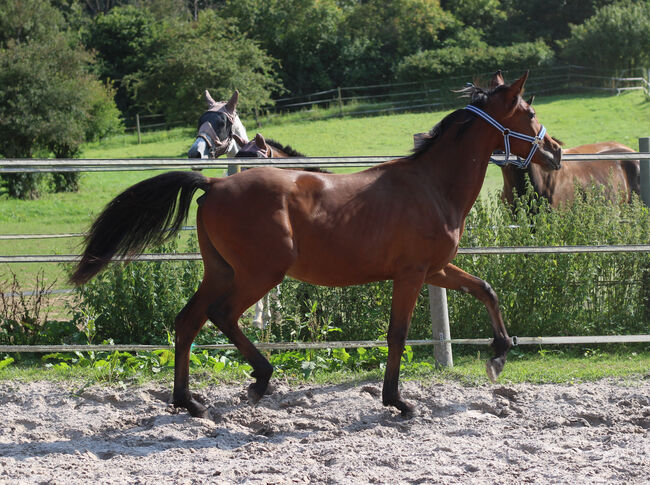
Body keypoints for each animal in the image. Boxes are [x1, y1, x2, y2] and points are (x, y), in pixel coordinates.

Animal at [69, 70, 556, 418]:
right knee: (221, 315)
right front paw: (397, 401)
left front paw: (498, 356)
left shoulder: (435, 269)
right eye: (529, 114)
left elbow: (485, 289)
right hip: (261, 273)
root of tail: (214, 185)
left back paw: (189, 402)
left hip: (221, 271)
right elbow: (397, 334)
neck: (432, 185)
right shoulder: (413, 274)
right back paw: (260, 379)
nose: (554, 151)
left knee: (188, 321)